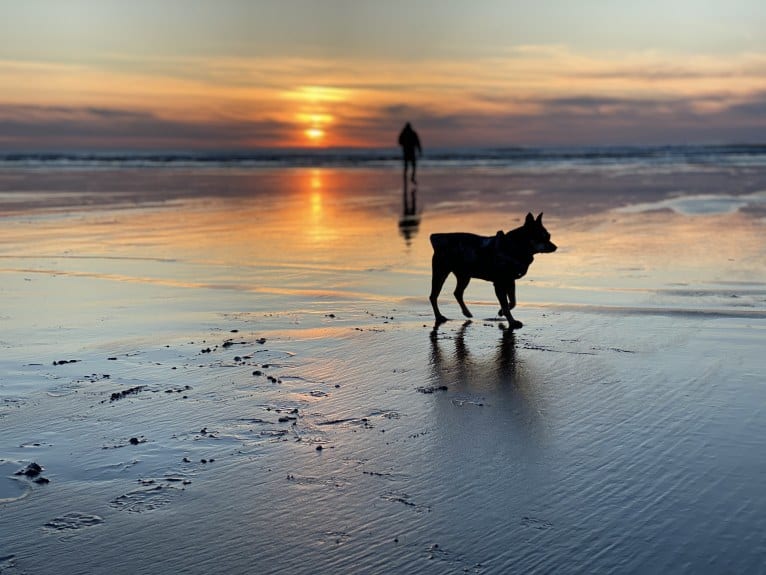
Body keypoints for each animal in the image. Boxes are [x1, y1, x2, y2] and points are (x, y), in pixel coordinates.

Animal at [426, 212, 560, 328]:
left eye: (549, 236)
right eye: (542, 237)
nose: (555, 247)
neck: (514, 248)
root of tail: (436, 238)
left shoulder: (510, 281)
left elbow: (513, 302)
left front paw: (501, 312)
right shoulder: (500, 283)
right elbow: (505, 304)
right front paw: (512, 322)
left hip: (464, 275)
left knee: (457, 292)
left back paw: (466, 312)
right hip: (441, 272)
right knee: (433, 296)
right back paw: (439, 317)